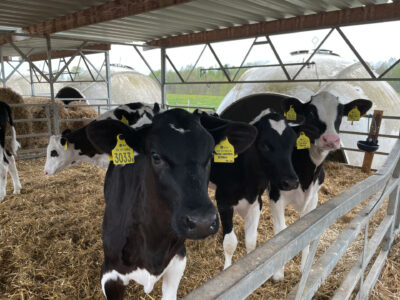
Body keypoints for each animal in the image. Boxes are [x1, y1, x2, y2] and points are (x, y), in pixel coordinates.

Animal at [272, 92, 372, 282]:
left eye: (340, 113)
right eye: (311, 112)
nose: (331, 139)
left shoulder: (313, 198)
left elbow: (307, 234)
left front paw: (304, 267)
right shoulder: (276, 196)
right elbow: (280, 230)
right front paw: (278, 273)